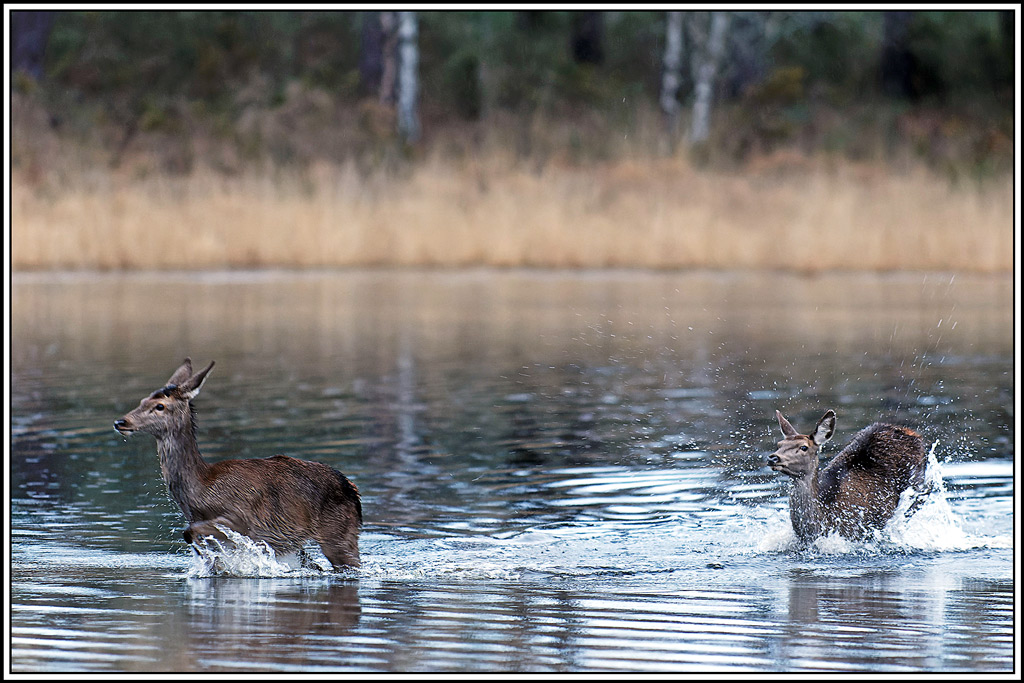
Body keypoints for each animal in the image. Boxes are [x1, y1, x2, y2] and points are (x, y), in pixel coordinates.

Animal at [114, 358, 362, 569]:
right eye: (142, 401)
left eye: (160, 406)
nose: (121, 422)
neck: (201, 489)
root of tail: (354, 492)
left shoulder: (240, 518)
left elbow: (190, 532)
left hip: (337, 533)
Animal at [766, 409, 929, 542]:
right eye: (779, 444)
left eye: (804, 447)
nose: (773, 458)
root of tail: (912, 432)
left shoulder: (858, 530)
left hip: (916, 483)